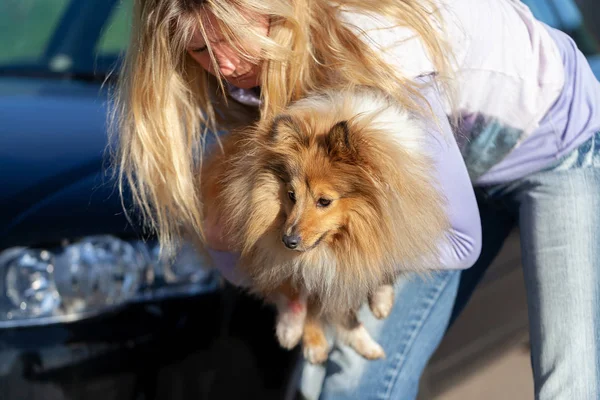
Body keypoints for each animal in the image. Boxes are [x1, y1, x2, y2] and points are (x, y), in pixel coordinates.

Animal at [199, 85, 448, 362]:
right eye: (291, 195)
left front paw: (380, 302)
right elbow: (296, 291)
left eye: (324, 201)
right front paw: (294, 329)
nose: (288, 241)